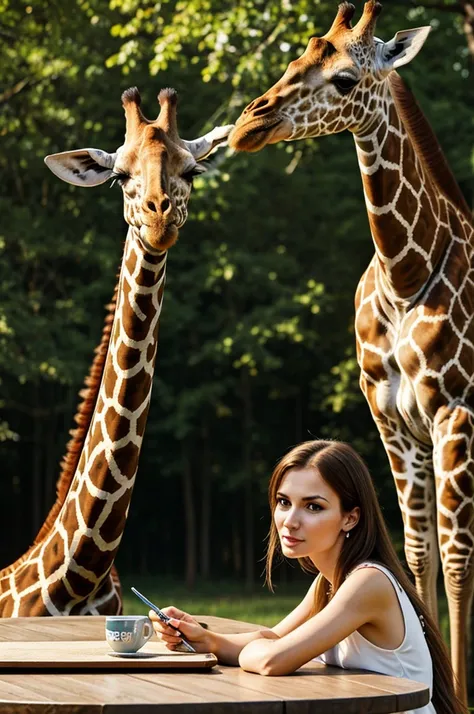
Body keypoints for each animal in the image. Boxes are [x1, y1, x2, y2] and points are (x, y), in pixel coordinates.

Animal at [230, 0, 474, 700]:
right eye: (294, 57)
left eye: (344, 78)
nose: (249, 123)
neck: (404, 276)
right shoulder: (392, 421)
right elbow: (417, 553)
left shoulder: (455, 415)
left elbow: (455, 559)